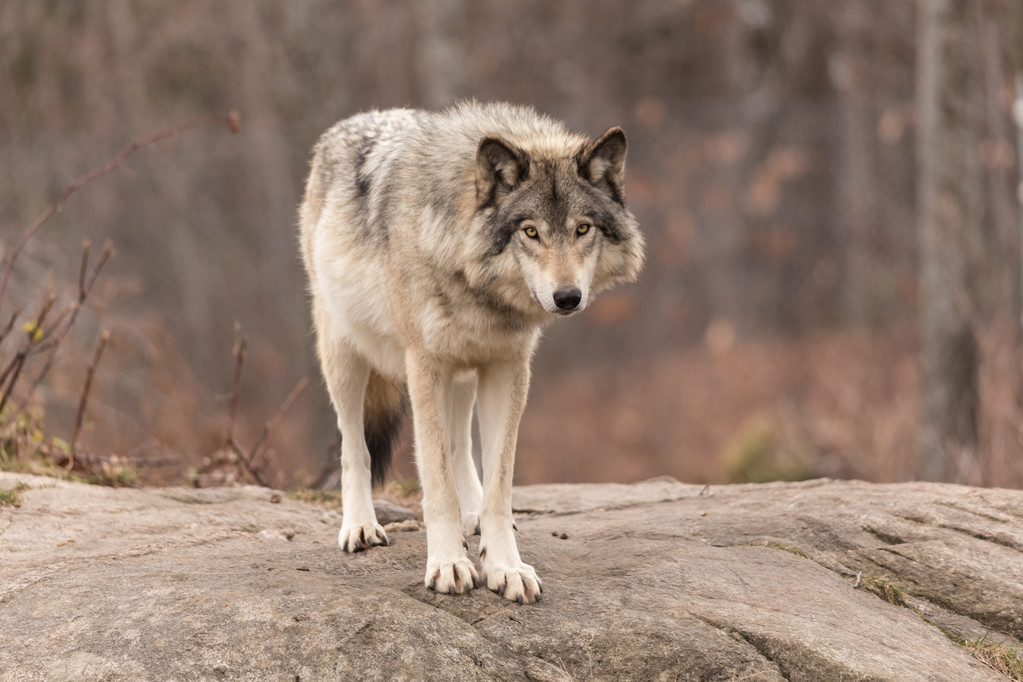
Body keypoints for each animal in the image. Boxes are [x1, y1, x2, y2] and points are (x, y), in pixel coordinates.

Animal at [299, 101, 644, 603]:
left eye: (583, 228)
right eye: (530, 232)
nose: (567, 298)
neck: (476, 284)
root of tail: (354, 120)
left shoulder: (507, 368)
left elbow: (498, 484)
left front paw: (506, 566)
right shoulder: (424, 365)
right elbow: (436, 483)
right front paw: (447, 563)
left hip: (462, 374)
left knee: (459, 445)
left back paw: (473, 513)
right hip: (345, 355)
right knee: (354, 447)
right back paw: (360, 526)